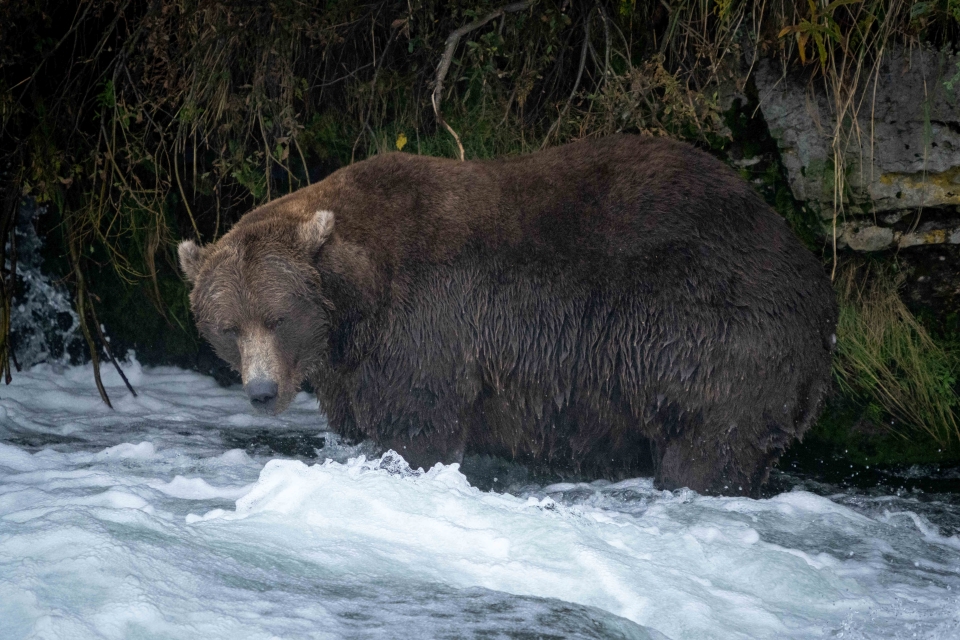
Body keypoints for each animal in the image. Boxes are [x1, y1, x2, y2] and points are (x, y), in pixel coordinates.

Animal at [178, 134, 837, 496]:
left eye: (278, 318)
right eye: (229, 328)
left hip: (713, 335)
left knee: (709, 443)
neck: (356, 301)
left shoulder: (427, 326)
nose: (262, 391)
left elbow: (418, 426)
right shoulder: (353, 362)